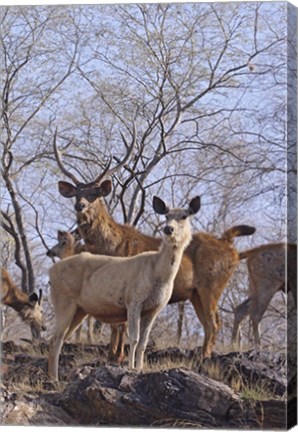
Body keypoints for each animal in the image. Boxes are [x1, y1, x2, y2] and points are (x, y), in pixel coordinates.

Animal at [47, 194, 200, 380]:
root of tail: (50, 272)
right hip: (63, 301)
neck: (159, 273)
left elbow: (143, 343)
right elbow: (133, 338)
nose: (168, 229)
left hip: (79, 310)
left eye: (184, 216)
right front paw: (131, 368)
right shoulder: (133, 300)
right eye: (166, 216)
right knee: (55, 339)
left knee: (60, 338)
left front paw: (140, 368)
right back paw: (53, 378)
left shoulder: (154, 309)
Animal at [54, 126, 256, 360]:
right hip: (196, 292)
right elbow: (115, 324)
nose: (80, 206)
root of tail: (232, 249)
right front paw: (112, 354)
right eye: (76, 193)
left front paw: (119, 356)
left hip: (212, 285)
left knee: (214, 323)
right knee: (209, 323)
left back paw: (204, 358)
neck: (110, 246)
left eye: (95, 194)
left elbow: (121, 324)